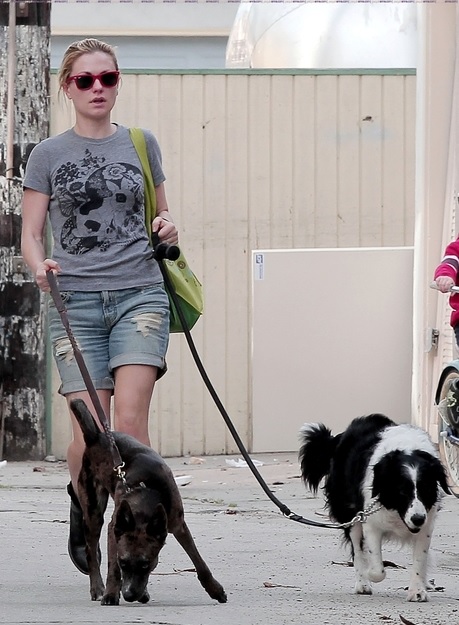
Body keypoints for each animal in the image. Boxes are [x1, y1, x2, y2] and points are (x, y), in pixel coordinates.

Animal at [71, 398, 227, 608]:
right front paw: (111, 593)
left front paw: (214, 589)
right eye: (123, 563)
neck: (147, 493)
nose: (128, 595)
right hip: (93, 510)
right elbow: (113, 568)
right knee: (90, 551)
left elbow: (199, 562)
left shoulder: (179, 526)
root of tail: (96, 436)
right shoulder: (114, 529)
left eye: (147, 564)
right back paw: (97, 588)